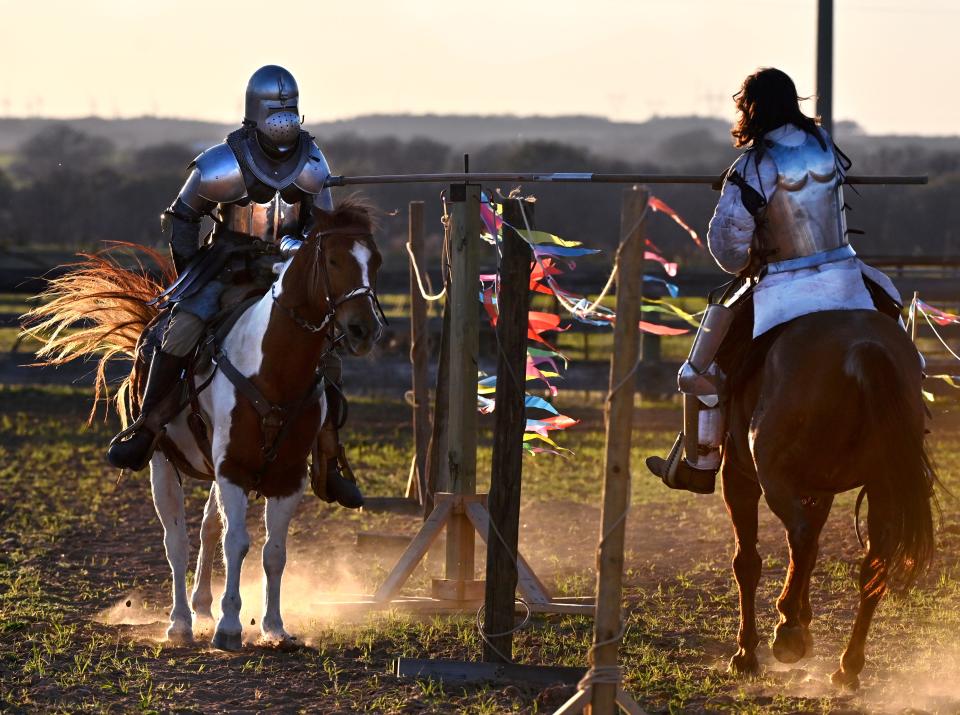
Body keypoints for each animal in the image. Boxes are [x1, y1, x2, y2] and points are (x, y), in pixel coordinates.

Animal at [25, 199, 382, 652]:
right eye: (333, 260)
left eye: (376, 261)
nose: (364, 329)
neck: (274, 367)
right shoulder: (232, 469)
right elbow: (237, 543)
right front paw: (229, 626)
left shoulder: (286, 478)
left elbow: (273, 551)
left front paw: (274, 627)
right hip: (163, 462)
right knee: (176, 541)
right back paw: (180, 622)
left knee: (209, 530)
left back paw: (202, 608)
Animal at [720, 308, 936, 688]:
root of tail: (863, 348)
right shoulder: (819, 490)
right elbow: (808, 554)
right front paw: (803, 623)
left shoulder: (738, 477)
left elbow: (747, 562)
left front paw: (746, 653)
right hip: (881, 486)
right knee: (871, 567)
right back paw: (847, 665)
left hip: (773, 479)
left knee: (801, 538)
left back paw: (788, 634)